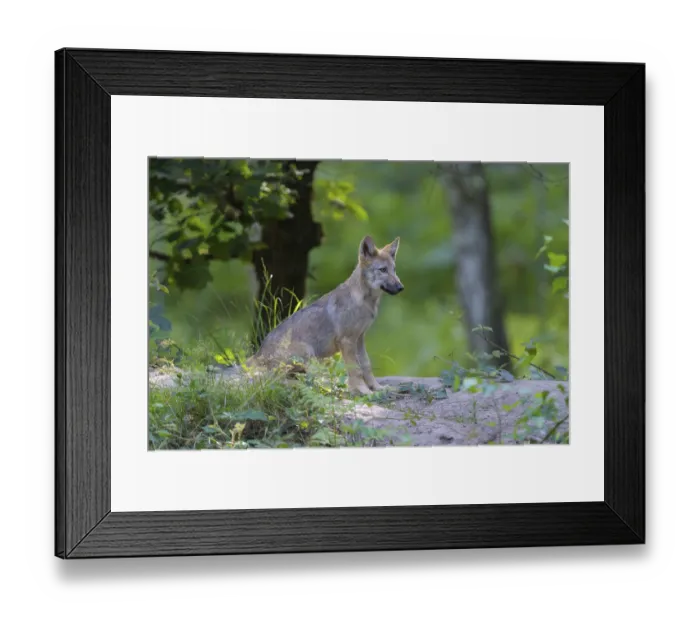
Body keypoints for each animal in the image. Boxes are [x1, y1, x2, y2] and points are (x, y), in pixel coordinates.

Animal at [248, 235, 404, 395]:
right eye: (383, 270)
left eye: (394, 269)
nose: (401, 287)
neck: (364, 301)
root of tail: (257, 355)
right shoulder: (347, 341)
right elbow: (355, 370)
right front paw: (363, 391)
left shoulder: (359, 338)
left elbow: (366, 365)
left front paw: (377, 388)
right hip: (308, 353)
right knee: (277, 381)